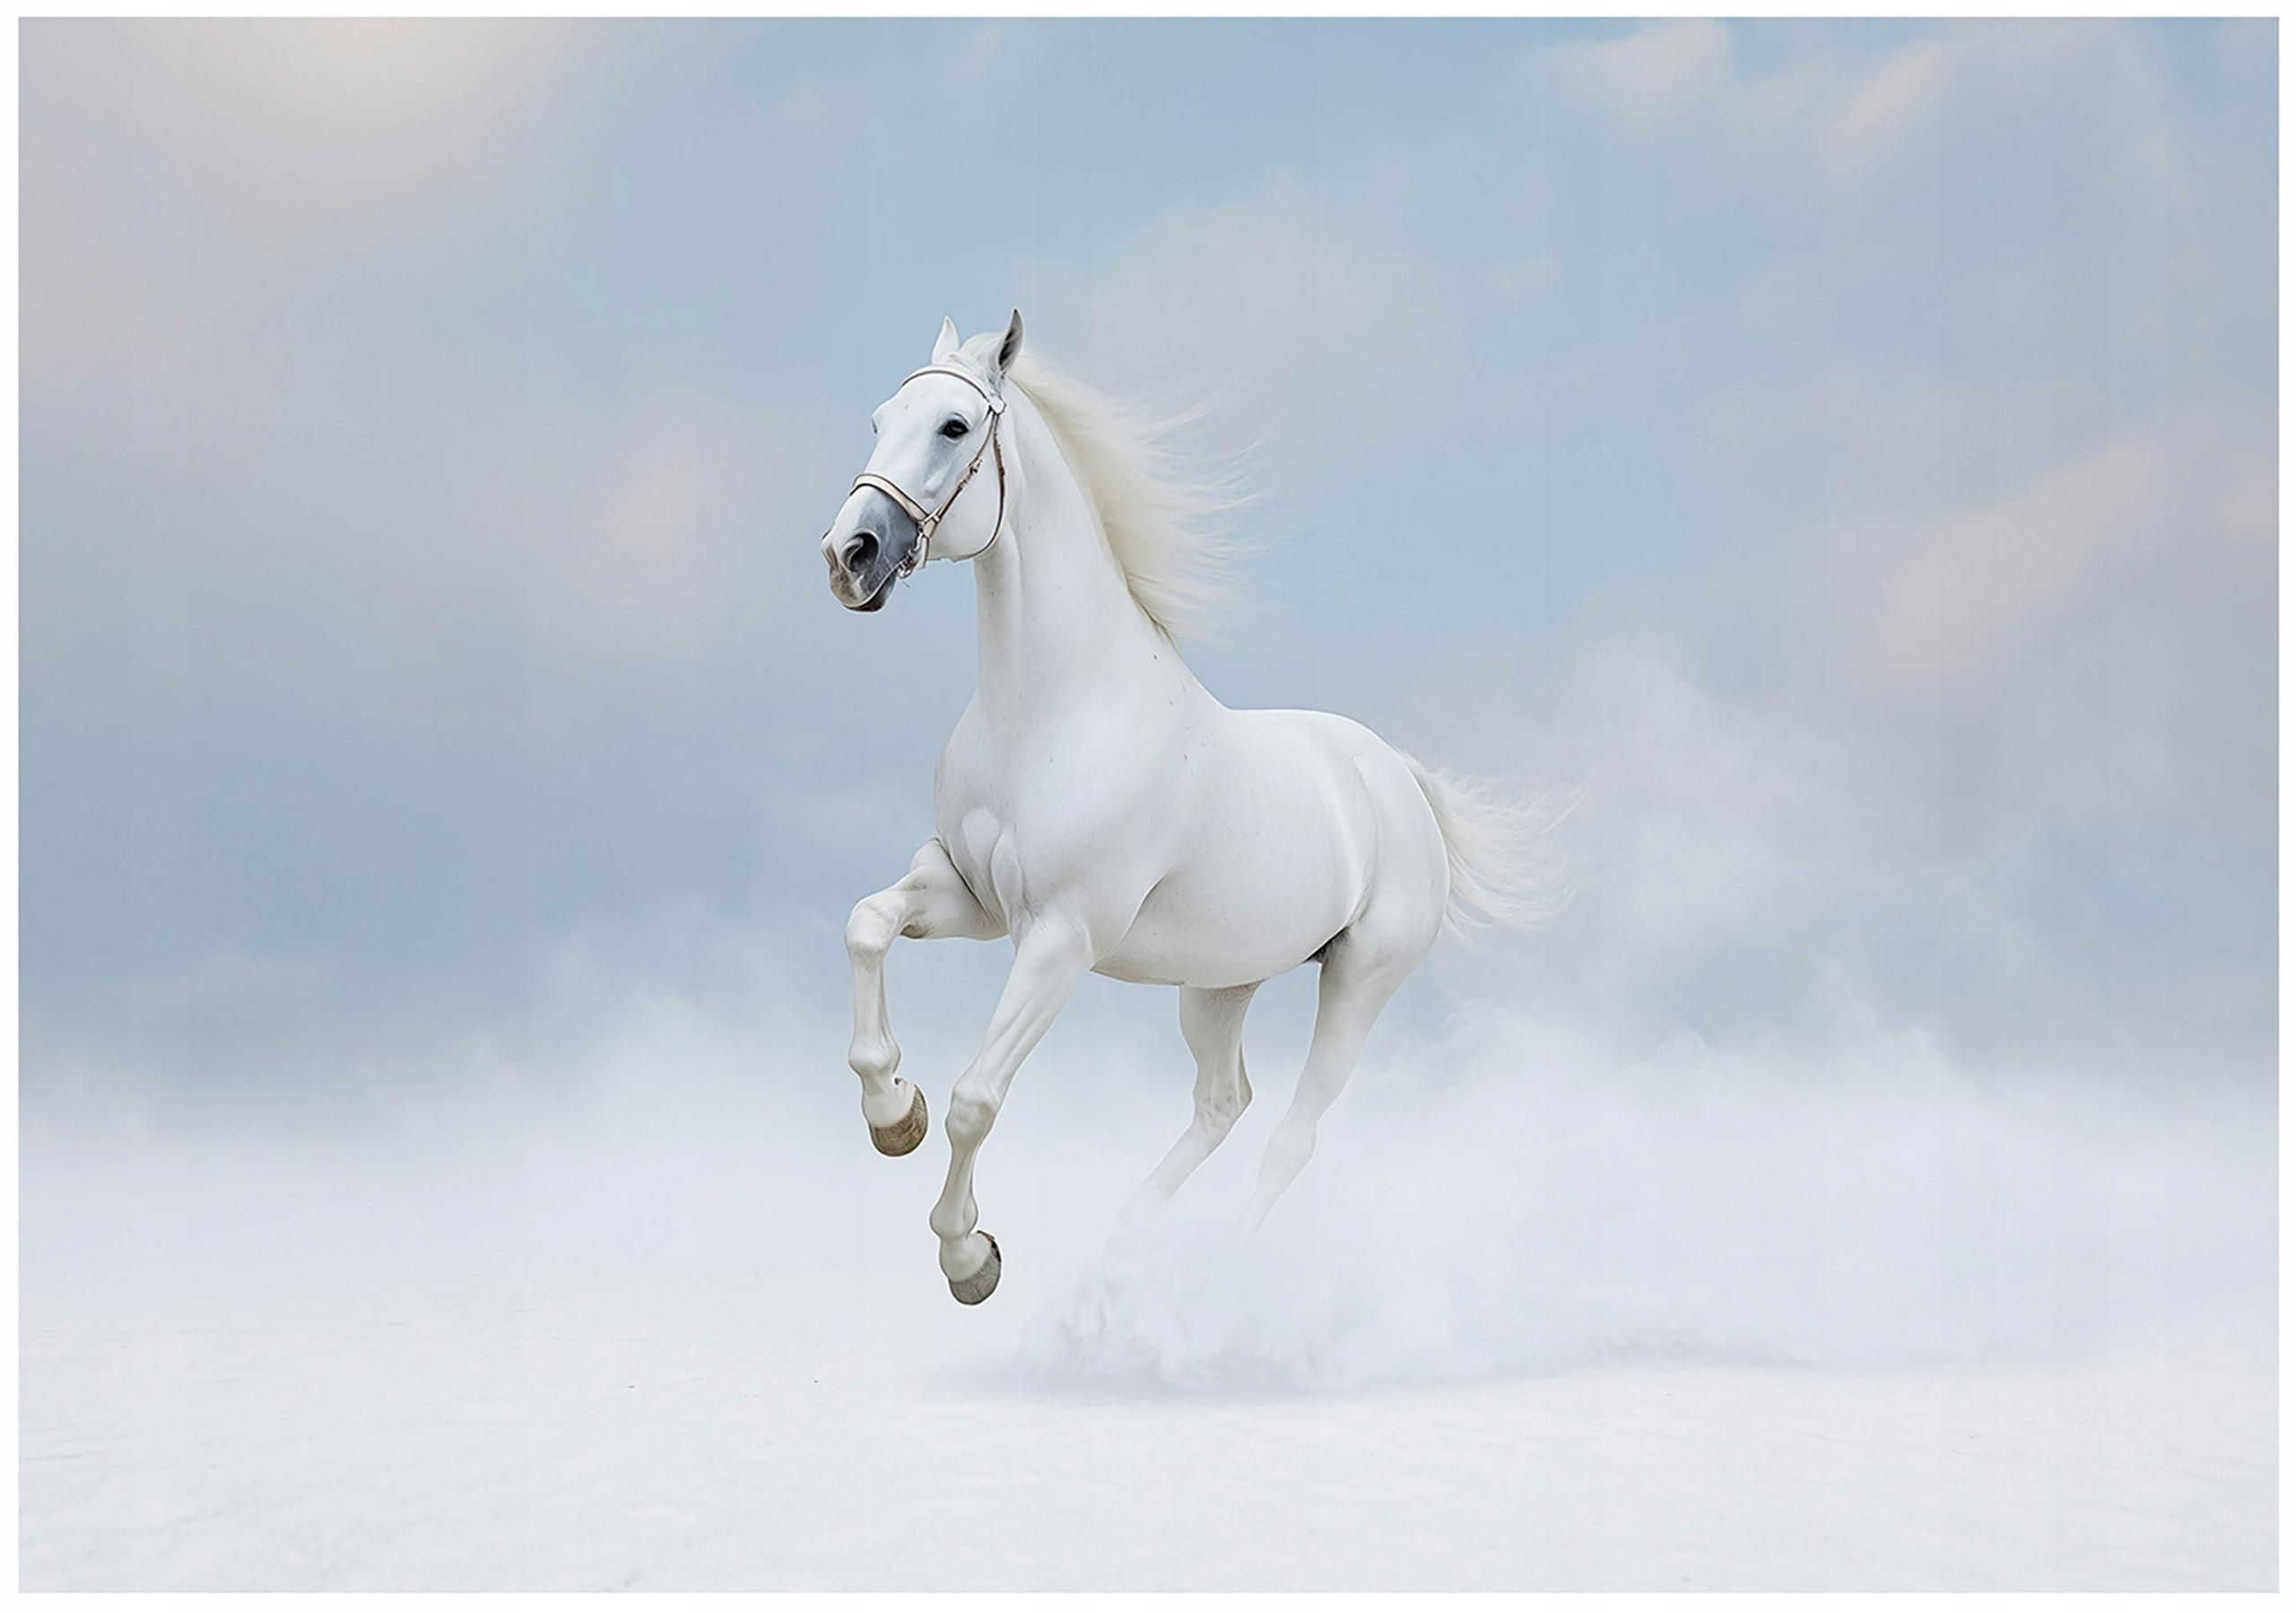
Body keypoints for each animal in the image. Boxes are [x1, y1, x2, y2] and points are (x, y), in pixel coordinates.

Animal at [819, 311, 1544, 1305]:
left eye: (954, 427)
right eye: (879, 419)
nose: (847, 557)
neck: (1052, 708)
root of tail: (1399, 780)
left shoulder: (1059, 936)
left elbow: (976, 1099)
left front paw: (970, 1257)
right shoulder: (968, 895)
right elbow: (866, 925)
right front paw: (894, 1112)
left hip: (1359, 984)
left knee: (1290, 1136)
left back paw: (1218, 1277)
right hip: (1217, 984)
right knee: (1223, 1101)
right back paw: (1123, 1245)